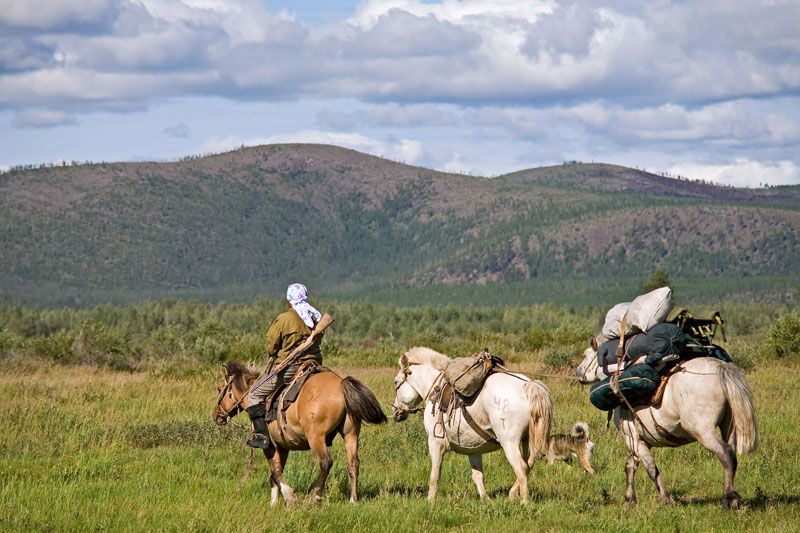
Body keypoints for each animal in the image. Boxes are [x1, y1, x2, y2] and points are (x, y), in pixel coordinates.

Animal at [212, 362, 388, 502]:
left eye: (220, 388)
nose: (215, 415)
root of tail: (340, 384)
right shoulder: (282, 447)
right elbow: (275, 474)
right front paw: (274, 504)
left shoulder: (269, 446)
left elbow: (275, 472)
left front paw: (288, 497)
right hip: (350, 434)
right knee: (353, 464)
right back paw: (352, 500)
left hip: (316, 438)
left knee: (326, 462)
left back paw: (315, 495)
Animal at [390, 348, 552, 500]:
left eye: (396, 382)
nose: (396, 412)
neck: (435, 389)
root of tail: (528, 385)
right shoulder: (473, 448)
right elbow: (478, 475)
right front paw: (485, 499)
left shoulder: (435, 444)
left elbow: (435, 475)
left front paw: (430, 501)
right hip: (528, 440)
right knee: (529, 464)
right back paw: (512, 494)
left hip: (509, 443)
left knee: (521, 468)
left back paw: (524, 502)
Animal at [580, 348, 760, 510]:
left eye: (587, 355)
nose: (578, 372)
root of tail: (720, 367)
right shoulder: (641, 440)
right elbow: (630, 466)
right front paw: (629, 499)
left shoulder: (631, 438)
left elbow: (651, 468)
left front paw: (666, 499)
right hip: (729, 426)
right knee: (732, 456)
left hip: (703, 432)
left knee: (726, 454)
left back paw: (729, 498)